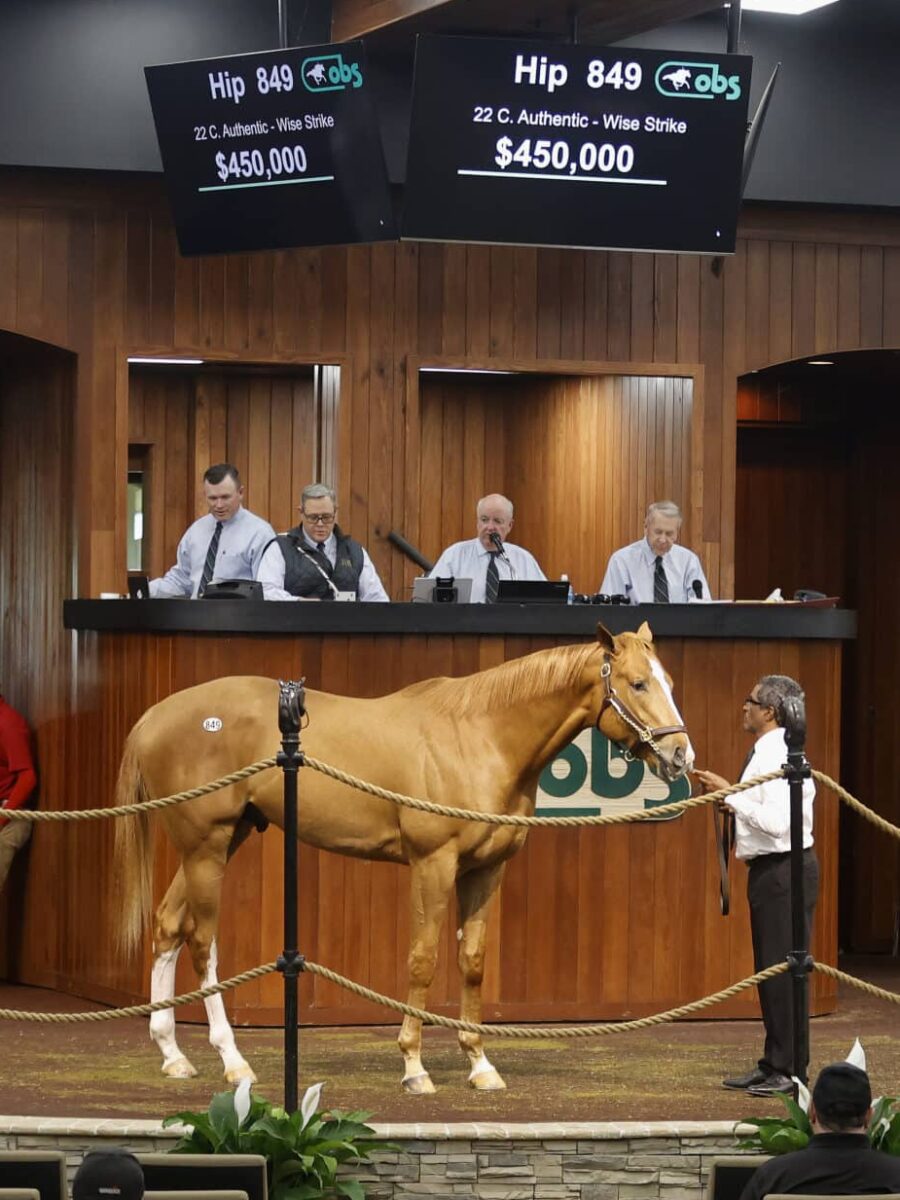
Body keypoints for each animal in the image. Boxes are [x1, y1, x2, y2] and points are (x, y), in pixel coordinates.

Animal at [112, 624, 691, 1094]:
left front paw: (480, 1065)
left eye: (668, 681)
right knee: (202, 943)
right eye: (637, 683)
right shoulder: (433, 864)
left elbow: (472, 961)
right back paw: (233, 1061)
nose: (681, 755)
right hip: (205, 846)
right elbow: (423, 959)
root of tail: (156, 716)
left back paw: (173, 1054)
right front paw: (414, 1066)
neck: (480, 736)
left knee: (168, 927)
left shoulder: (486, 869)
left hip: (220, 841)